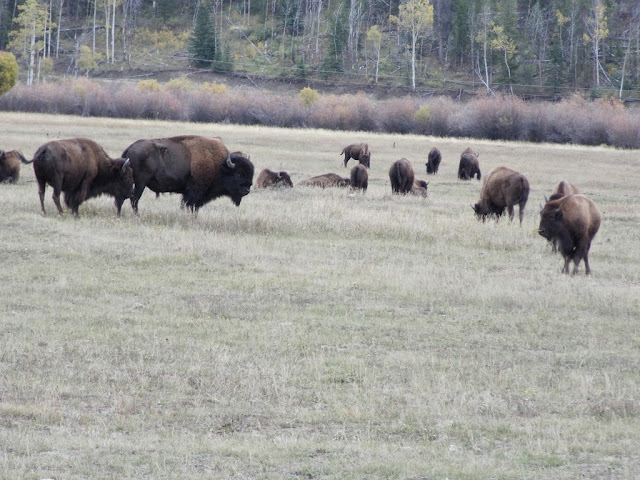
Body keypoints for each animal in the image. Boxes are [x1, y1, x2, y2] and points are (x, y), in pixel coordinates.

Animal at [122, 135, 254, 213]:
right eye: (239, 174)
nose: (247, 190)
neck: (219, 165)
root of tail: (130, 147)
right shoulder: (195, 192)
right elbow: (190, 205)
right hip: (140, 182)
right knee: (135, 198)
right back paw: (137, 215)